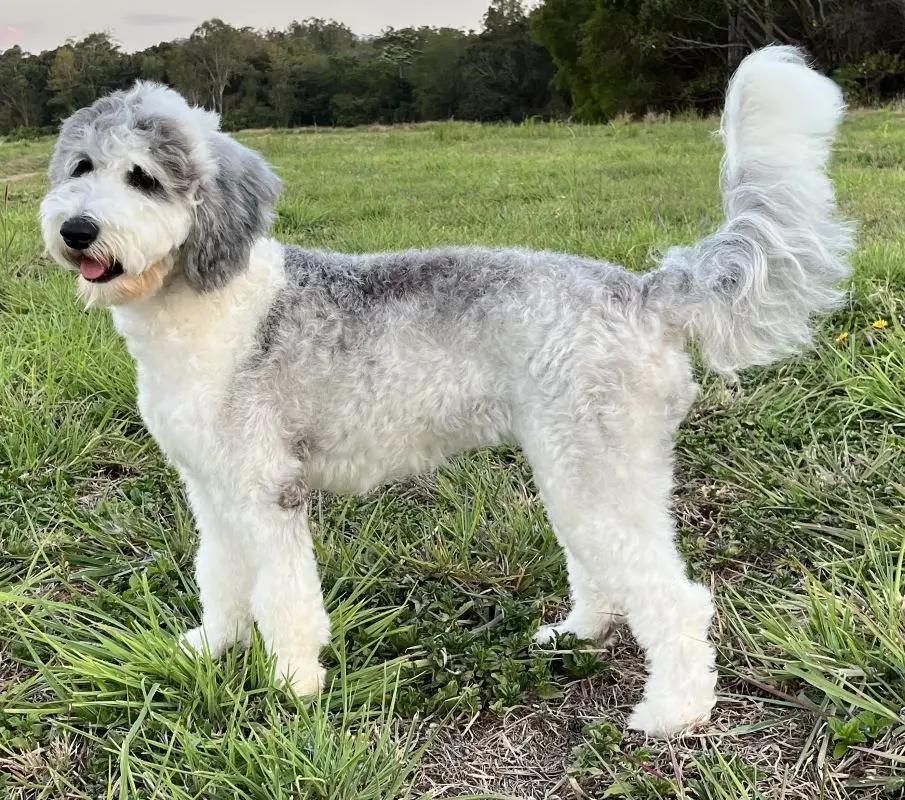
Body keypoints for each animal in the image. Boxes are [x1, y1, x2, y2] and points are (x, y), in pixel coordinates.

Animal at [38, 47, 852, 736]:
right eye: (81, 166)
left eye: (143, 178)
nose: (76, 229)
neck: (208, 304)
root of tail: (646, 291)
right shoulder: (213, 489)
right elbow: (222, 576)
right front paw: (212, 646)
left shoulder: (268, 493)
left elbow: (285, 597)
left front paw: (293, 687)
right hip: (585, 468)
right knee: (610, 569)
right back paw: (577, 633)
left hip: (594, 470)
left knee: (676, 600)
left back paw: (673, 713)